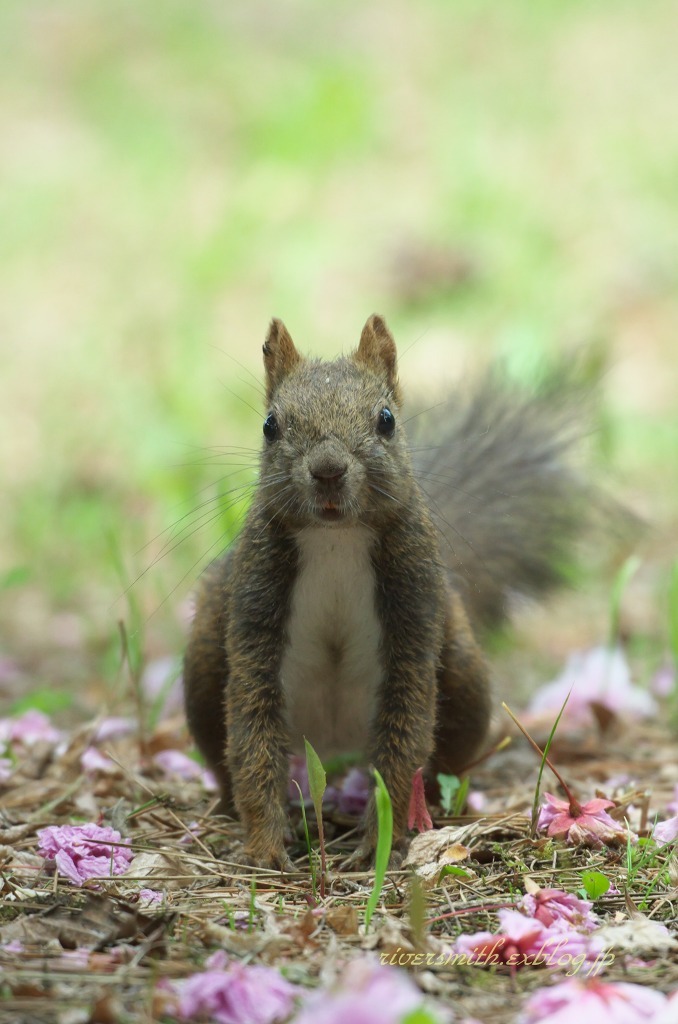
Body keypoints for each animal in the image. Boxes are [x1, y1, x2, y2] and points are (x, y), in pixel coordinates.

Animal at [183, 315, 594, 868]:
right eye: (270, 425)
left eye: (386, 420)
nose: (328, 470)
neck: (336, 539)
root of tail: (332, 745)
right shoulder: (254, 610)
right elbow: (252, 737)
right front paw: (266, 847)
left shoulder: (414, 613)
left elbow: (404, 739)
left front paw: (377, 841)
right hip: (205, 656)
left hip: (463, 672)